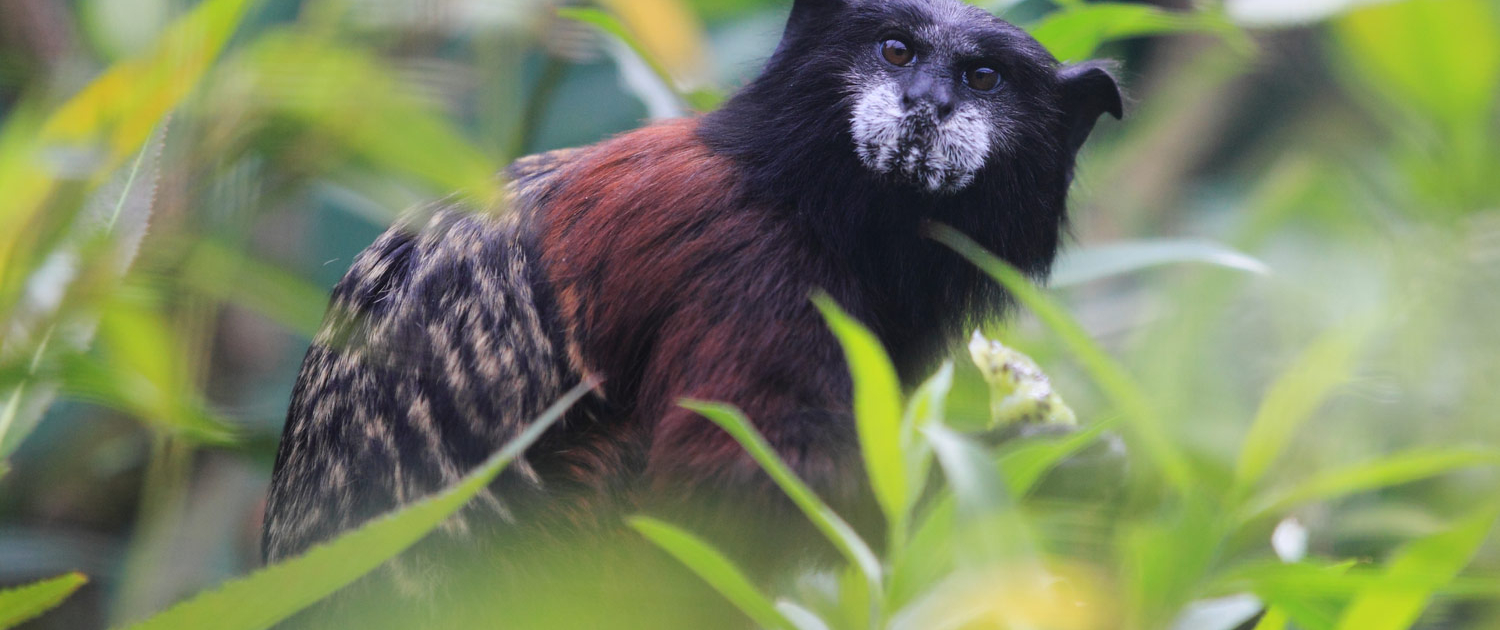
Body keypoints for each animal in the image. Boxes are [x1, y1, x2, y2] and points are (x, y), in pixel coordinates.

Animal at [262, 0, 1121, 617]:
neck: (807, 195)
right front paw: (1031, 460)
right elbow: (737, 485)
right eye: (897, 52)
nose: (924, 102)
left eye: (982, 79)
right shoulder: (742, 261)